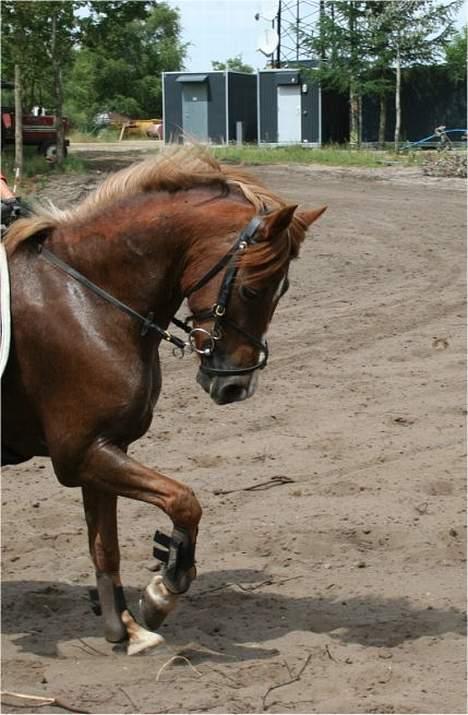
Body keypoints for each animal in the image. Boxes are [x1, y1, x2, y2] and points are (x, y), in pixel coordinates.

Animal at [2, 147, 326, 654]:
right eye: (252, 288)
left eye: (284, 289)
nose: (237, 387)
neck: (88, 299)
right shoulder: (79, 453)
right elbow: (183, 501)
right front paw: (165, 587)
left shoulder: (104, 448)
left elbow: (106, 546)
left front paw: (128, 627)